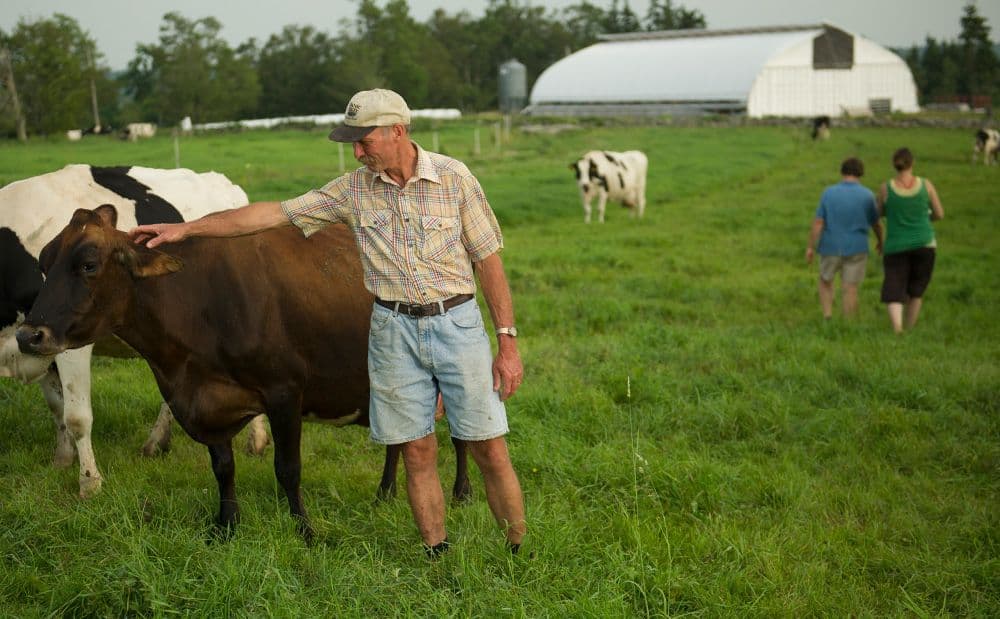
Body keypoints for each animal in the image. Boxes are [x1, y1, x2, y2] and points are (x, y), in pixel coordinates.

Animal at [0, 164, 266, 498]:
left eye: (87, 265)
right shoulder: (38, 341)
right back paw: (157, 443)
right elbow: (56, 407)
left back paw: (256, 441)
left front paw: (90, 483)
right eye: (43, 264)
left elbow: (76, 417)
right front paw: (61, 459)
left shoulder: (69, 343)